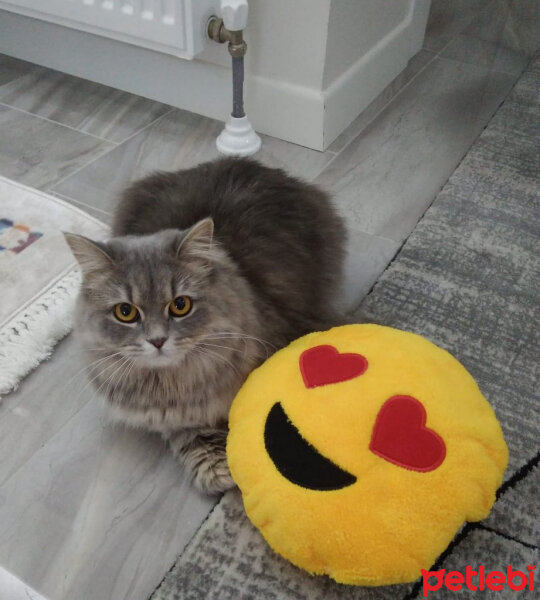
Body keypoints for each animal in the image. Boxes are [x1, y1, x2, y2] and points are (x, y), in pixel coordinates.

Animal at [65, 157, 346, 494]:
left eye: (180, 305)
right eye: (125, 312)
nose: (157, 340)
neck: (175, 385)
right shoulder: (170, 417)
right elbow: (187, 434)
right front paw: (215, 467)